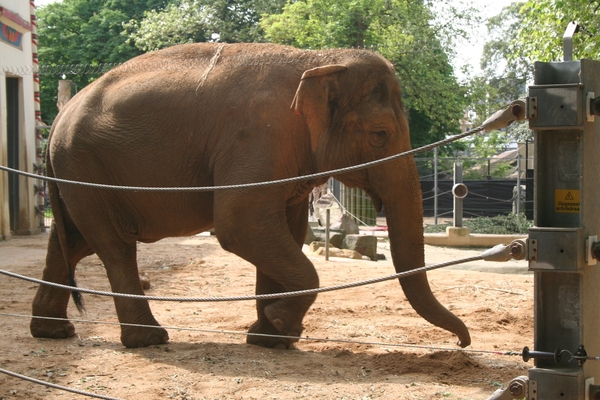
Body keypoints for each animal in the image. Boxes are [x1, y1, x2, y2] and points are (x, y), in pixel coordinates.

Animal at [30, 42, 471, 349]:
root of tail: (57, 120)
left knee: (72, 243)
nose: (463, 342)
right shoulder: (258, 137)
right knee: (114, 246)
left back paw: (53, 331)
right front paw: (280, 323)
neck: (318, 60)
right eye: (380, 134)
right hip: (87, 173)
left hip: (77, 177)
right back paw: (150, 339)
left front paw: (270, 337)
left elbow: (286, 231)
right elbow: (240, 223)